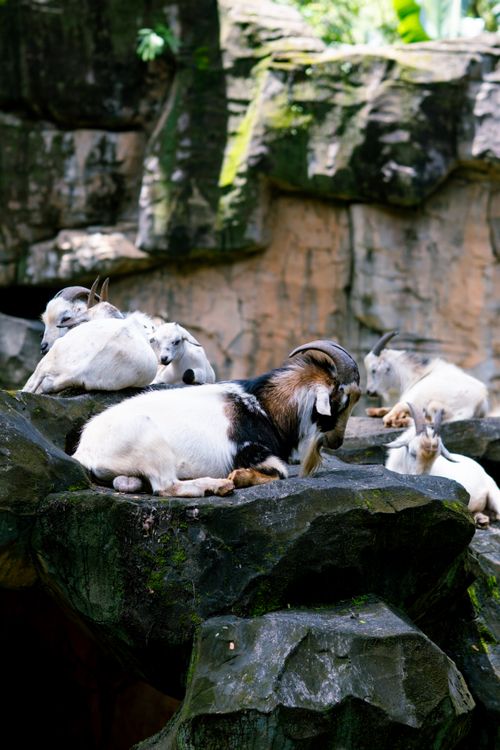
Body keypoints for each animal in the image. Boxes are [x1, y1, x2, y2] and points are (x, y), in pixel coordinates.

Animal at [72, 339, 361, 498]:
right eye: (341, 401)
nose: (337, 441)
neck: (264, 407)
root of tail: (84, 451)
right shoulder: (251, 450)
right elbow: (280, 473)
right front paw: (238, 477)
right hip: (150, 444)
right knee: (165, 486)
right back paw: (219, 485)